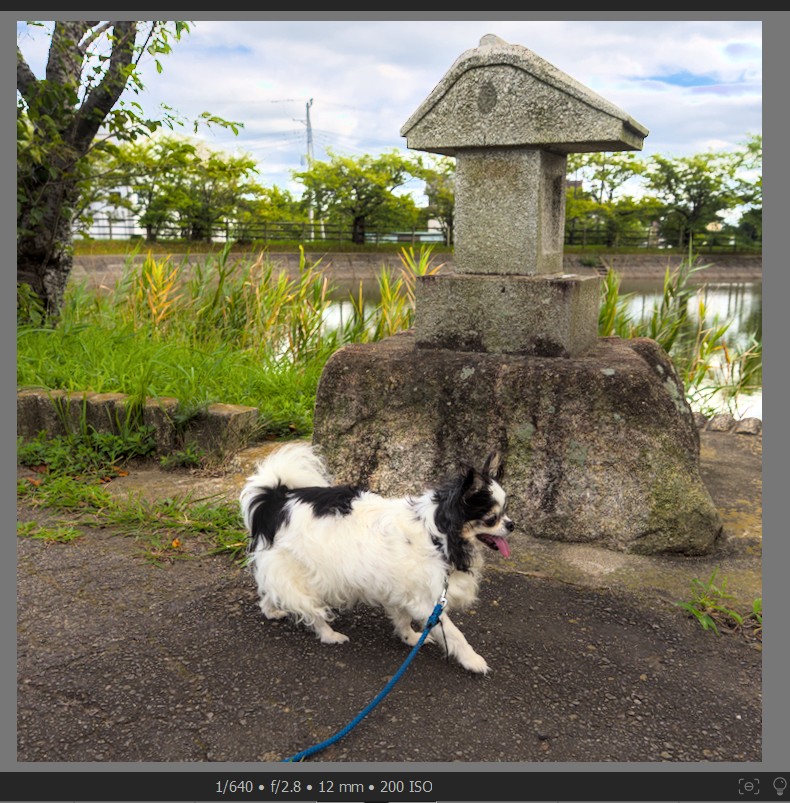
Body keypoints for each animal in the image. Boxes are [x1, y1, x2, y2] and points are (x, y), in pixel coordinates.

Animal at [239, 441, 514, 674]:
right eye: (492, 518)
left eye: (506, 511)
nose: (512, 525)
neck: (437, 534)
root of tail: (276, 500)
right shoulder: (428, 602)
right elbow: (454, 633)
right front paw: (473, 660)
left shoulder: (403, 590)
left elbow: (403, 619)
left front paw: (410, 638)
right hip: (306, 573)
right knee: (309, 608)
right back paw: (330, 635)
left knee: (271, 590)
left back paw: (271, 611)